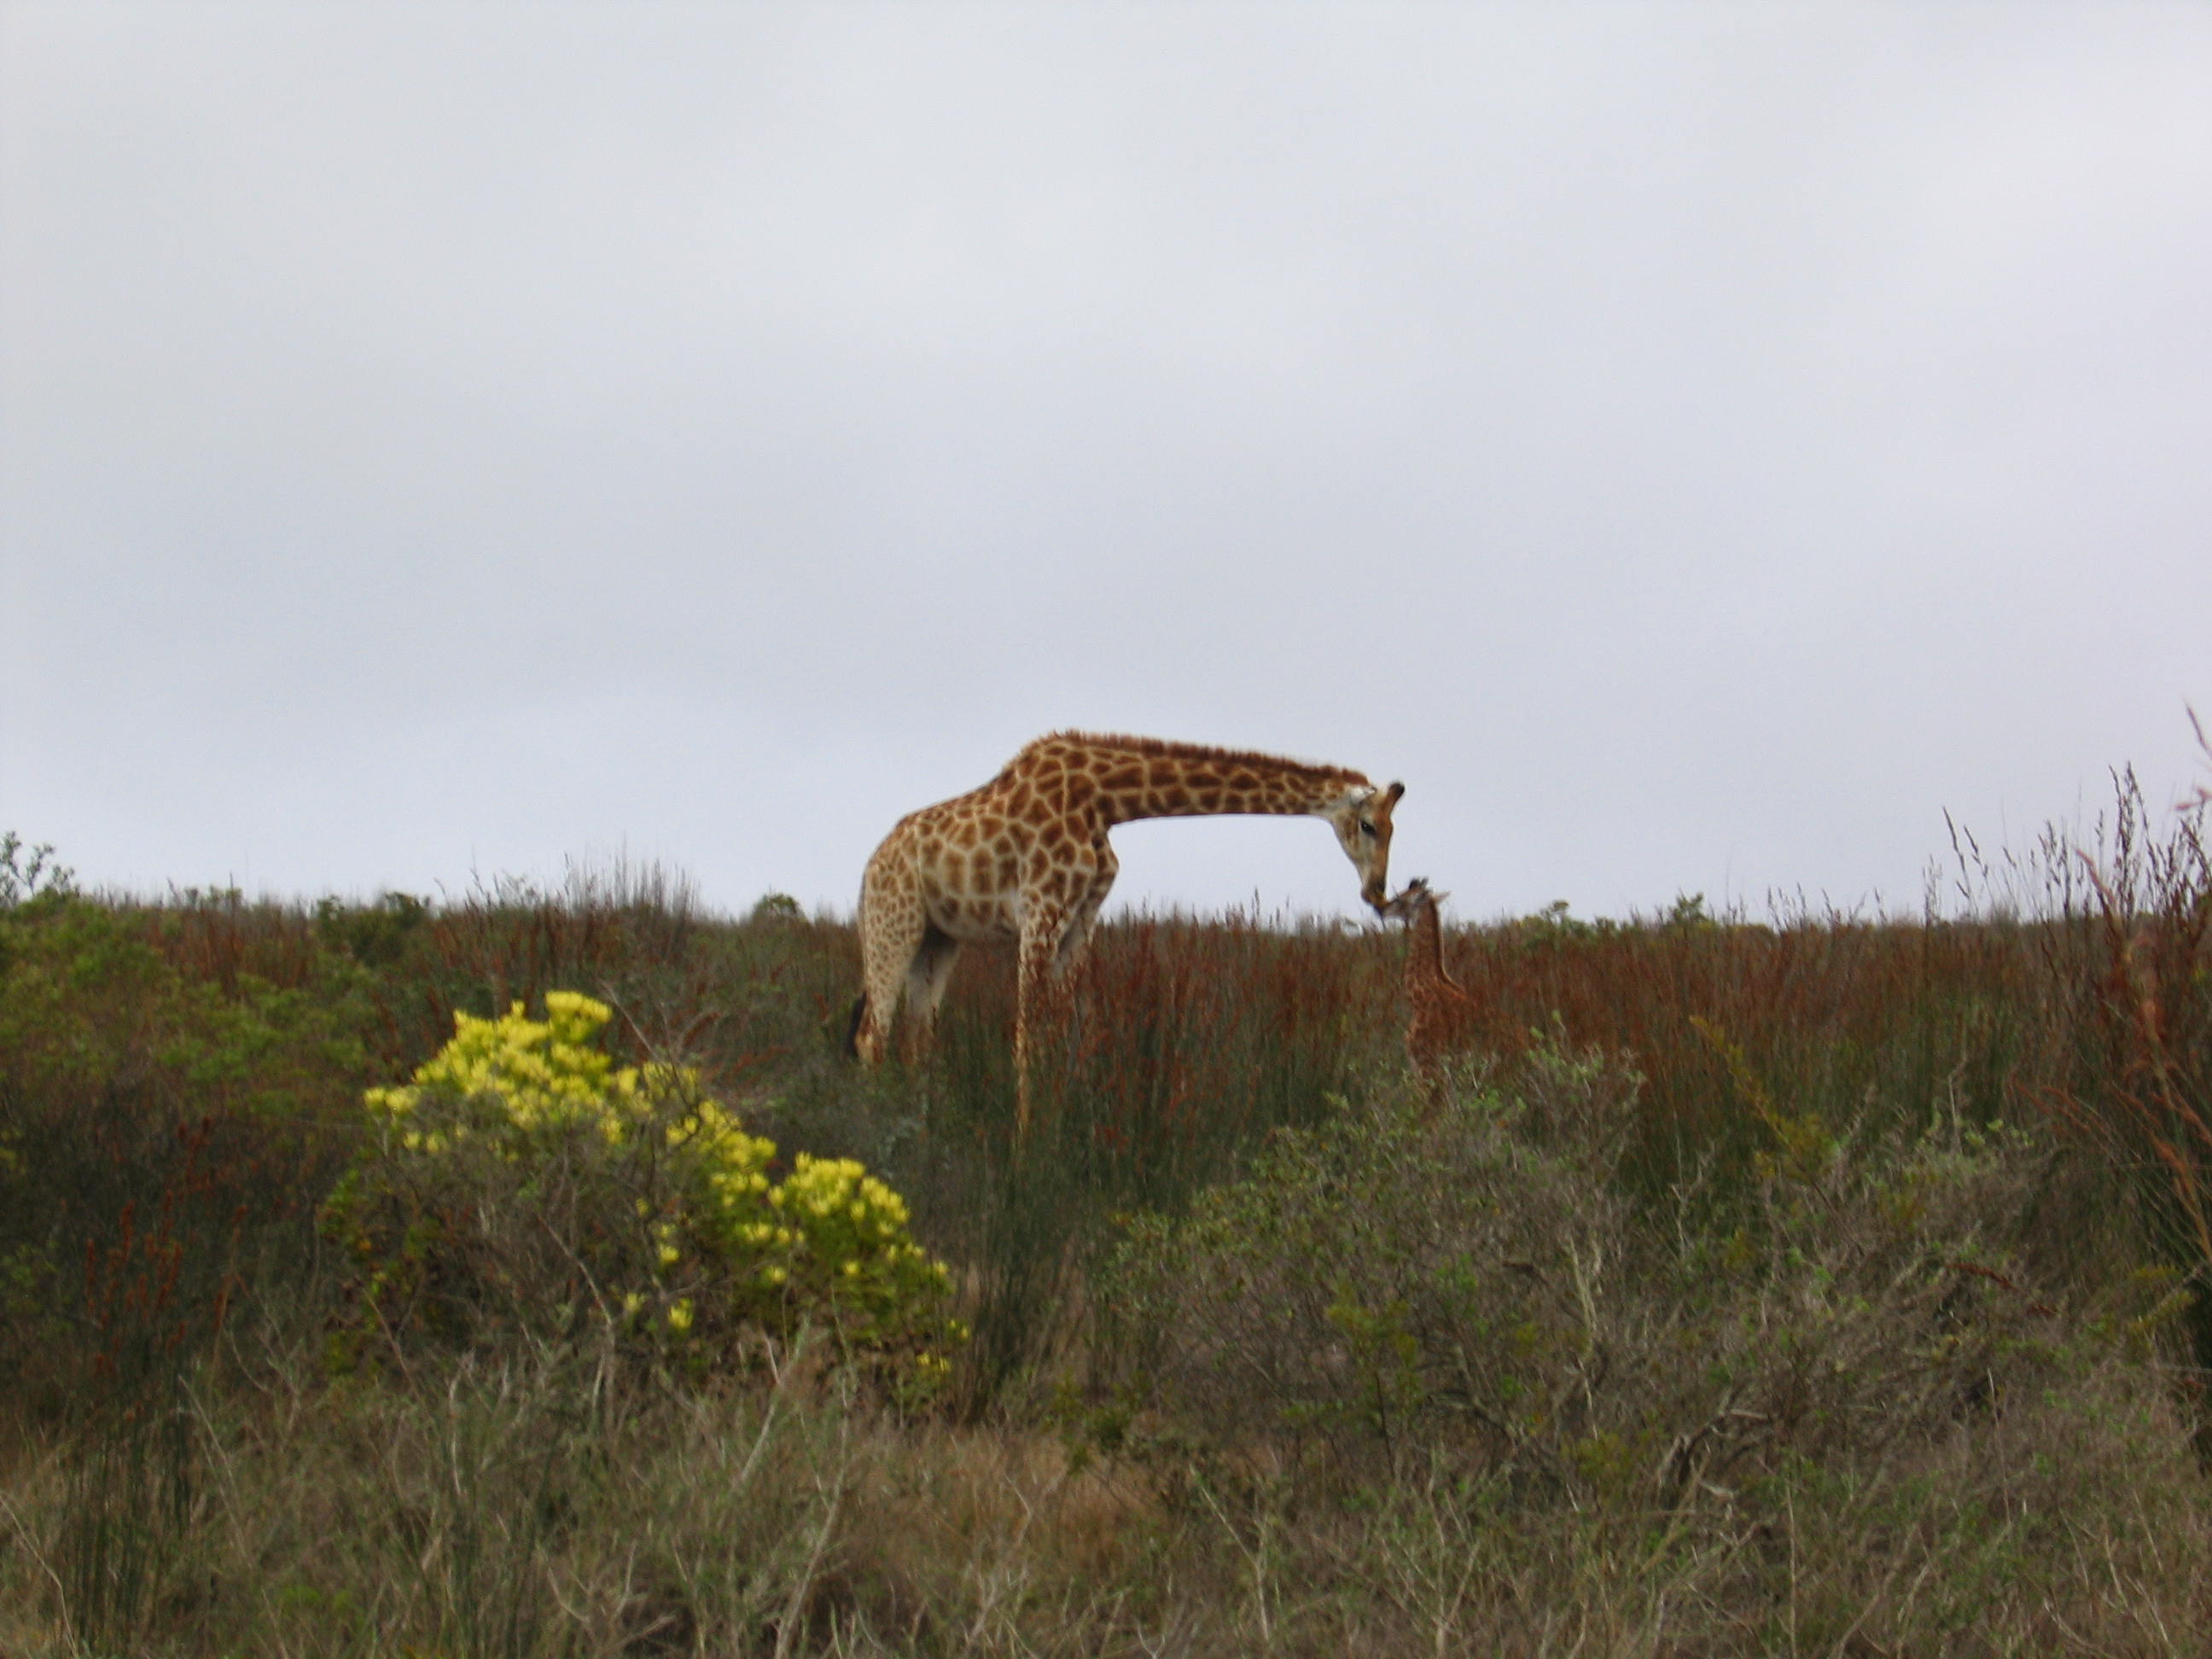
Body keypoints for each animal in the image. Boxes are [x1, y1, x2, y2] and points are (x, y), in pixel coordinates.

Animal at [850, 731, 1404, 1131]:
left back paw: (921, 1134)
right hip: (892, 921)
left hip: (939, 940)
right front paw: (1024, 1151)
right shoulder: (1041, 910)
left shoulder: (1079, 921)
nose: (1377, 892)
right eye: (1370, 826)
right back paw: (876, 1132)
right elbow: (1027, 1037)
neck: (1105, 803)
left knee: (916, 1041)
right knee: (872, 1035)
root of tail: (871, 866)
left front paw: (1056, 1132)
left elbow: (1061, 1037)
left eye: (1394, 829)